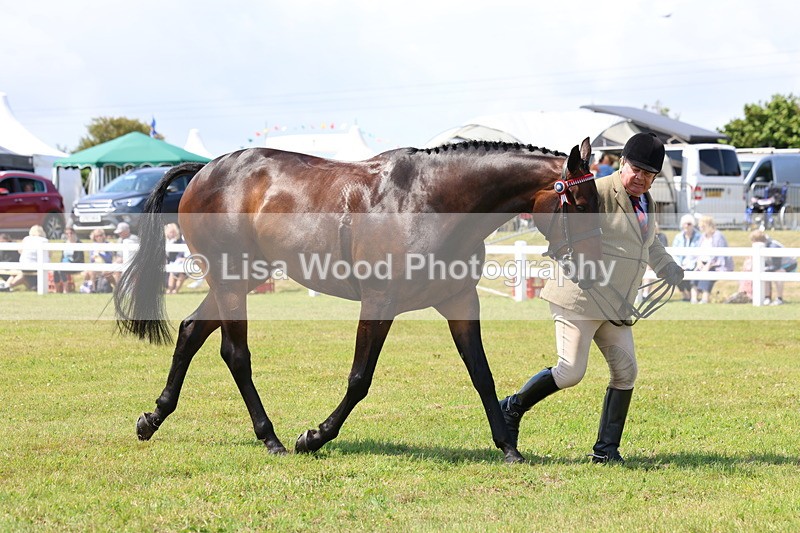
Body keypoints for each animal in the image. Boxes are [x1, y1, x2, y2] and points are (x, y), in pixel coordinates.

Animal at [115, 138, 602, 463]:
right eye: (580, 203)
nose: (594, 266)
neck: (431, 199)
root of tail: (202, 170)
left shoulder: (461, 303)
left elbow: (482, 375)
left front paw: (509, 447)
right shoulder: (379, 302)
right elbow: (359, 379)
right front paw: (314, 437)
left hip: (239, 281)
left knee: (191, 331)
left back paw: (152, 418)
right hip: (232, 282)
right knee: (235, 353)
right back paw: (271, 438)